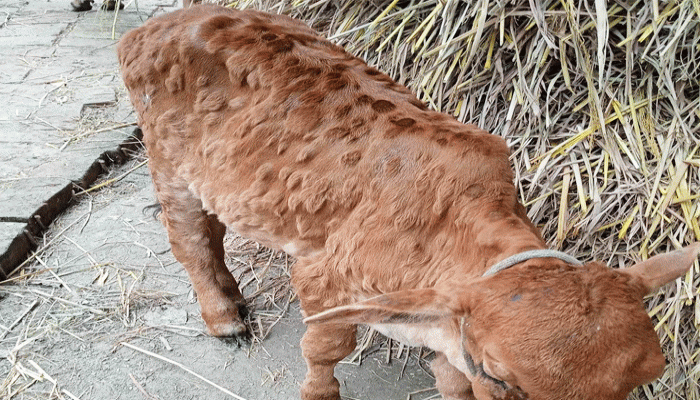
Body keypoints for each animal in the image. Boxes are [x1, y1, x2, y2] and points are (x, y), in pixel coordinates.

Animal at [117, 4, 696, 398]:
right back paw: (224, 318)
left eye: (650, 372)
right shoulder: (325, 278)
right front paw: (319, 392)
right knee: (191, 239)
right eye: (502, 378)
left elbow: (450, 377)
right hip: (167, 159)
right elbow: (324, 350)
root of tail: (154, 26)